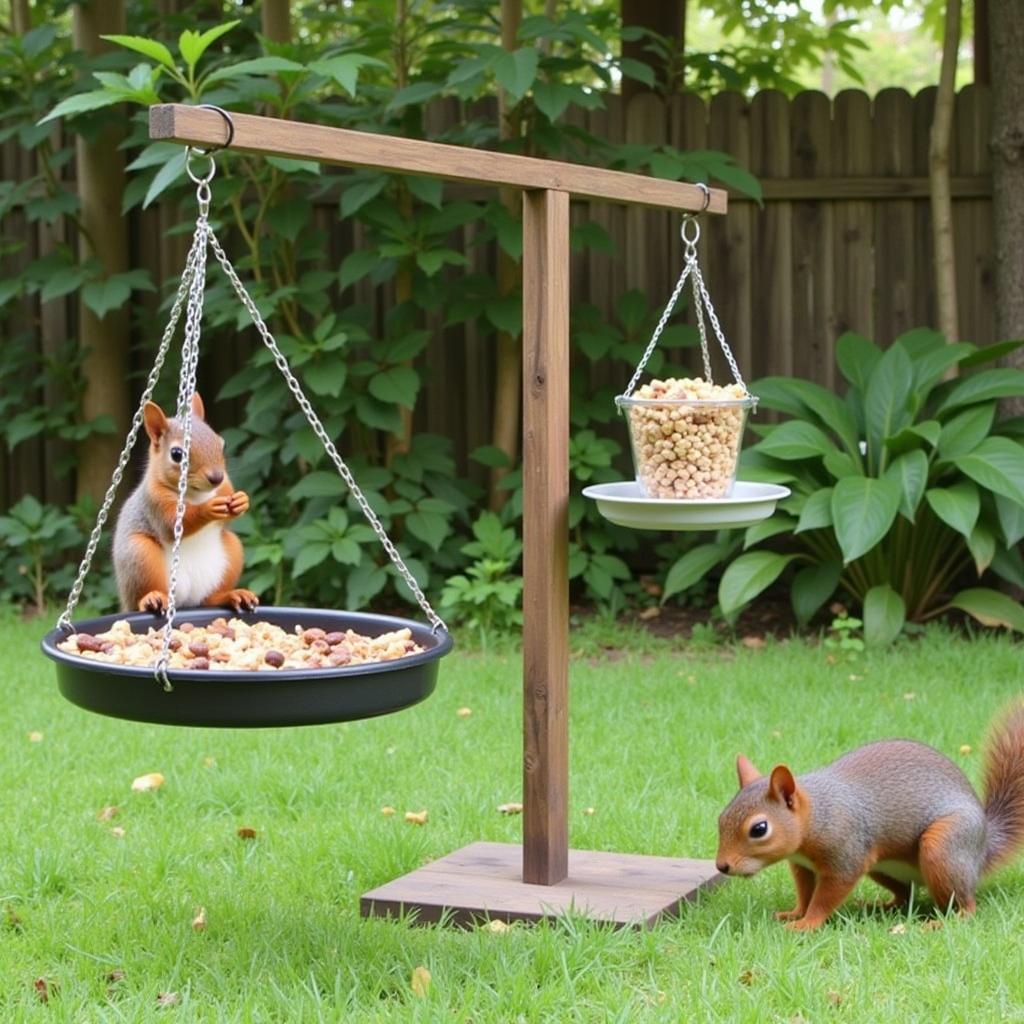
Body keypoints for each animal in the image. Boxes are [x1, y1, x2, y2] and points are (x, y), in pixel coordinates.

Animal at [112, 393, 260, 614]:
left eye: (222, 444)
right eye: (176, 454)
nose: (216, 477)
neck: (195, 494)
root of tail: (185, 602)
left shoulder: (224, 487)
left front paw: (241, 501)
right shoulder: (154, 500)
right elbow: (171, 524)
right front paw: (207, 509)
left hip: (232, 552)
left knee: (209, 600)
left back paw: (231, 595)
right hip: (139, 555)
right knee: (142, 596)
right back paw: (151, 599)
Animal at [716, 708, 1024, 933]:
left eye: (759, 829)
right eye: (720, 818)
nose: (722, 866)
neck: (818, 814)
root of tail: (983, 849)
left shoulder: (846, 856)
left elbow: (824, 897)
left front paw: (806, 924)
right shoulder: (802, 866)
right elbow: (805, 892)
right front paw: (795, 913)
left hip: (944, 846)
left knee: (967, 905)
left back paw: (941, 922)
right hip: (880, 867)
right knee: (906, 895)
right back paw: (877, 906)